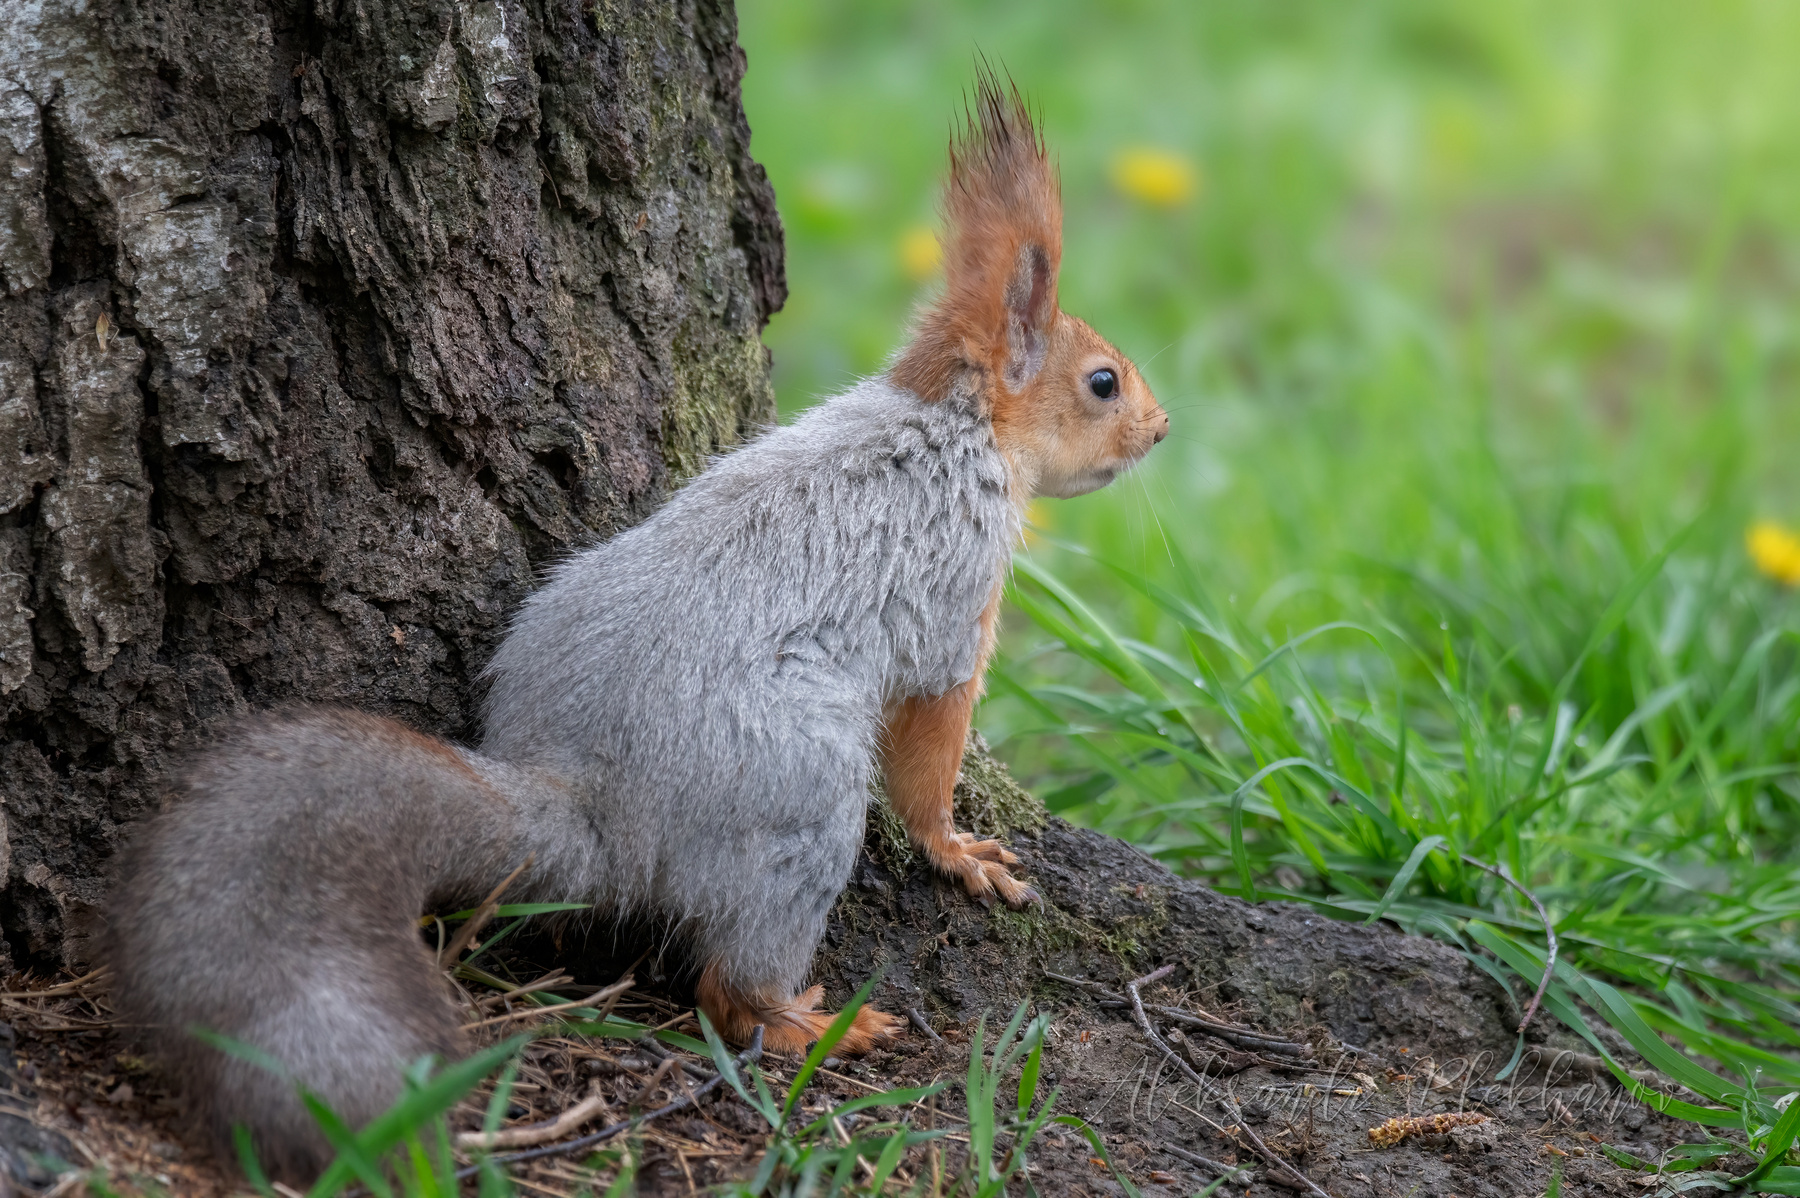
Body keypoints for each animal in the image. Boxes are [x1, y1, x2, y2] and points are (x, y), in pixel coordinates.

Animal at [104, 76, 1168, 1179]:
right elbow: (931, 745)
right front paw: (958, 848)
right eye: (1103, 381)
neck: (956, 419)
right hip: (797, 799)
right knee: (726, 987)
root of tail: (596, 803)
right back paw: (809, 1023)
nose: (1162, 427)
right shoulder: (957, 600)